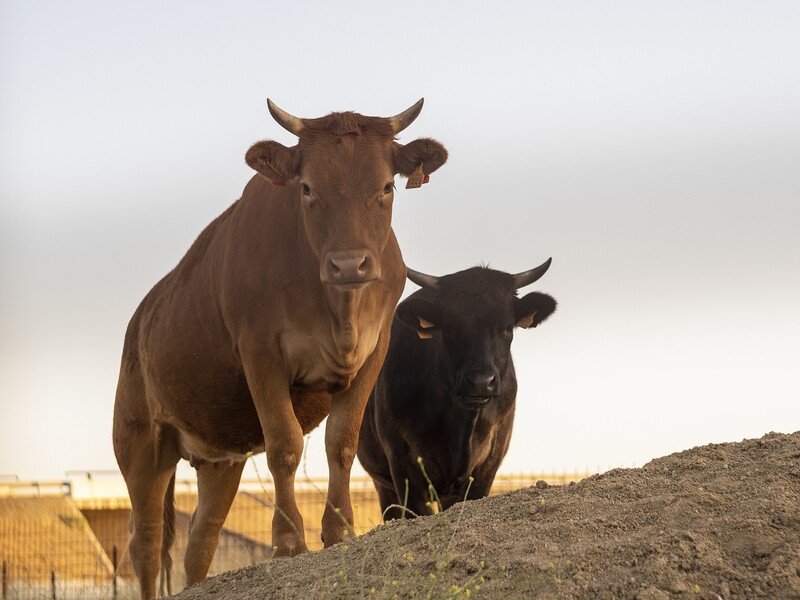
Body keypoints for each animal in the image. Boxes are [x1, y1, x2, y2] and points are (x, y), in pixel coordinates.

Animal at [111, 98, 450, 596]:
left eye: (387, 186)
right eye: (307, 188)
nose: (349, 264)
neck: (338, 310)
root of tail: (139, 320)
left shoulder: (374, 352)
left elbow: (341, 442)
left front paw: (339, 531)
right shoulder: (260, 354)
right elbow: (284, 444)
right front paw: (289, 543)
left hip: (219, 461)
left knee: (200, 542)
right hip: (140, 442)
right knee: (147, 542)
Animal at [358, 260, 556, 516]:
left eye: (506, 328)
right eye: (450, 328)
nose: (481, 381)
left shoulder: (489, 463)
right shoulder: (401, 460)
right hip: (382, 483)